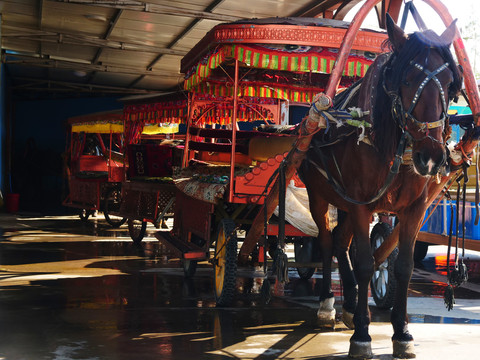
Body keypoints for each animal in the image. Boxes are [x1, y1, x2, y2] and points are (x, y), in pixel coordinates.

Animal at [300, 15, 462, 358]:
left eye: (449, 84)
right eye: (408, 79)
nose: (432, 157)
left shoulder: (413, 209)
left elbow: (403, 266)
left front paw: (401, 331)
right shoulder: (361, 204)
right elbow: (364, 263)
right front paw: (362, 334)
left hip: (345, 202)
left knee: (339, 240)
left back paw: (349, 303)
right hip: (319, 195)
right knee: (325, 241)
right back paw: (327, 304)